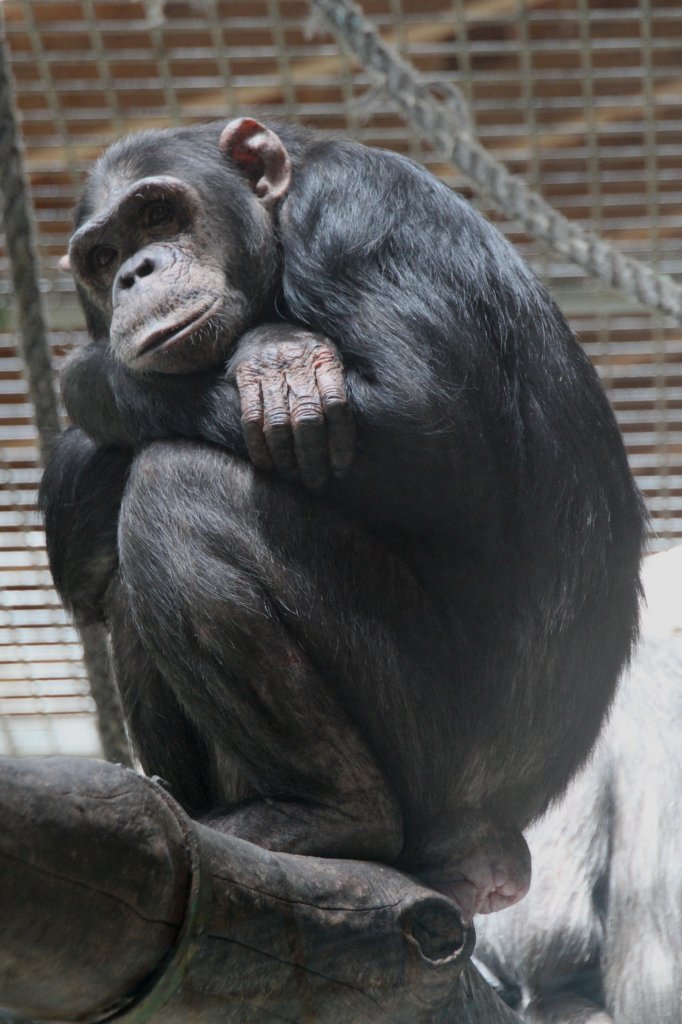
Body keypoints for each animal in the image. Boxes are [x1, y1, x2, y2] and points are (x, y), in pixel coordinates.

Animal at [39, 117, 647, 921]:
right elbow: (79, 563)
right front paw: (274, 358)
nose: (134, 271)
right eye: (100, 257)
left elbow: (425, 424)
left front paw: (107, 376)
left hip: (433, 742)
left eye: (158, 214)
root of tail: (494, 842)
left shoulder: (356, 217)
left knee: (179, 487)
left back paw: (329, 812)